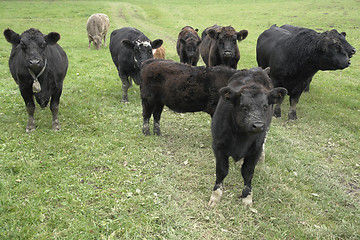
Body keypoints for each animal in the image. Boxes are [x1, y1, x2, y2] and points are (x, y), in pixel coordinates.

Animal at [208, 66, 286, 207]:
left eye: (265, 106)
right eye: (243, 106)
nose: (258, 125)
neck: (241, 138)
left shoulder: (255, 150)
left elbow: (248, 172)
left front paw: (247, 197)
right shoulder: (218, 145)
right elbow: (222, 170)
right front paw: (216, 196)